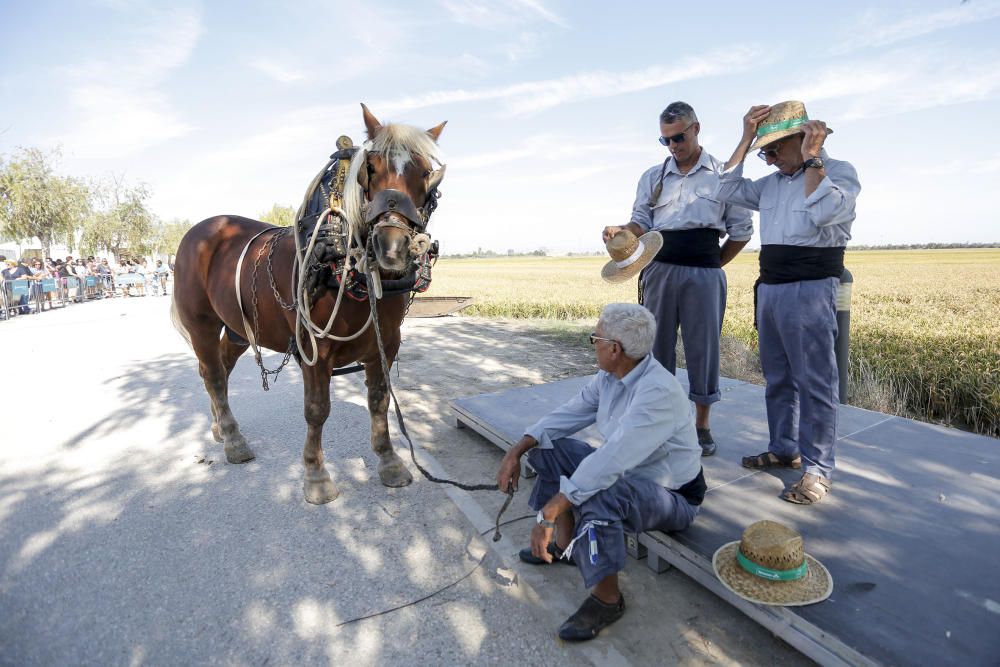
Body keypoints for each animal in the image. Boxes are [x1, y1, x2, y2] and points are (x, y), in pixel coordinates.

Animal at [171, 104, 446, 504]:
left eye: (426, 173)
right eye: (371, 167)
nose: (391, 247)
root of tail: (200, 231)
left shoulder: (386, 343)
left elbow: (379, 401)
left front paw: (389, 461)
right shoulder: (315, 348)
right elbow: (317, 410)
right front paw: (316, 475)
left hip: (238, 329)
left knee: (221, 368)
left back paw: (220, 427)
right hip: (201, 324)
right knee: (213, 374)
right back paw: (234, 440)